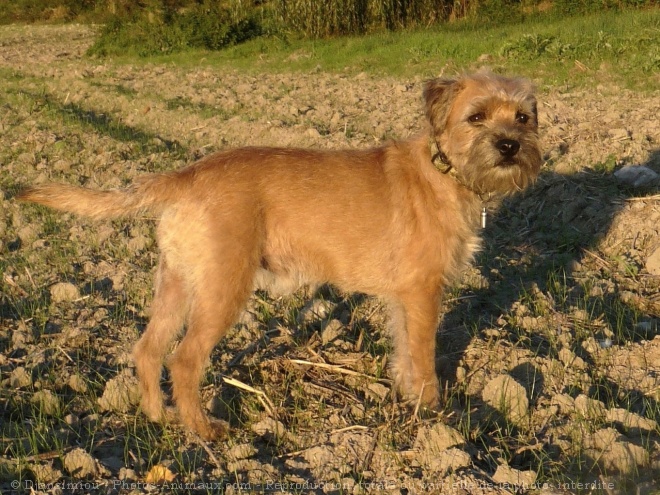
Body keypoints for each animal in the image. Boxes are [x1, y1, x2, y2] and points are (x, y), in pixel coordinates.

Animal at [19, 70, 540, 442]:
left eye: (523, 117)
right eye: (476, 116)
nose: (510, 146)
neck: (446, 170)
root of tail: (185, 175)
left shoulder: (403, 299)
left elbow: (404, 355)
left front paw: (409, 399)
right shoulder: (423, 292)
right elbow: (425, 357)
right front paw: (435, 415)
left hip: (177, 283)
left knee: (148, 349)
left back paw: (157, 417)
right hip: (224, 289)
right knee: (183, 360)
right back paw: (203, 430)